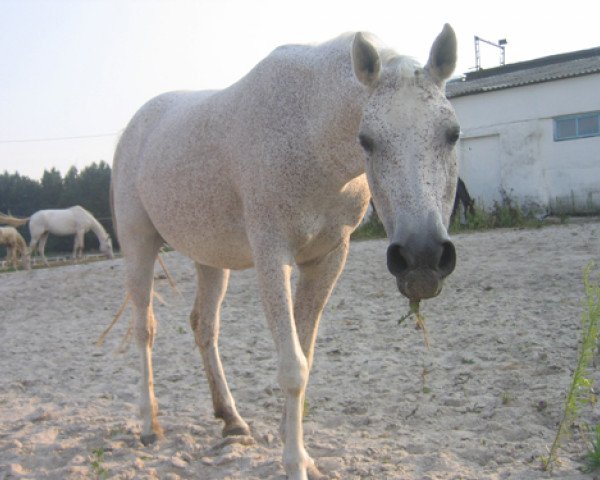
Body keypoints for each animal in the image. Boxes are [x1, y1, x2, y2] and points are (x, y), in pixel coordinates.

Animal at [111, 27, 460, 480]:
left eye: (452, 133)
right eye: (366, 140)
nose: (422, 258)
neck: (309, 131)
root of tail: (135, 127)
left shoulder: (327, 259)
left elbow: (305, 355)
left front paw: (296, 447)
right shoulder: (271, 255)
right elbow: (292, 366)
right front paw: (294, 462)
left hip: (210, 258)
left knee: (204, 326)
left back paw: (231, 420)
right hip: (138, 243)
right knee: (145, 329)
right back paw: (148, 425)